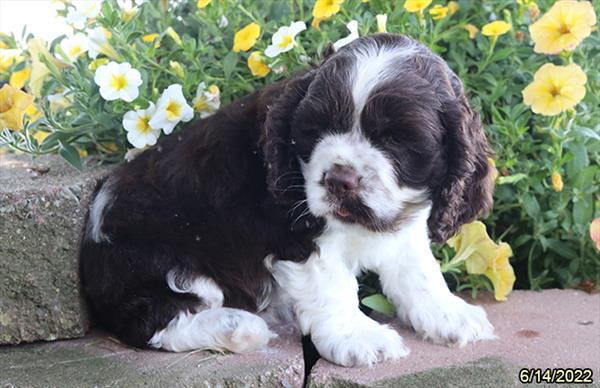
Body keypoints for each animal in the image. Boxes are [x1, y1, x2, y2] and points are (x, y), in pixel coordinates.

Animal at [79, 34, 494, 366]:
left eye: (395, 139)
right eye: (317, 128)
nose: (339, 180)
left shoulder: (404, 218)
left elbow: (417, 269)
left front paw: (448, 314)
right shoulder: (298, 231)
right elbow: (333, 284)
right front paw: (361, 337)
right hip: (162, 259)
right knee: (156, 319)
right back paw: (238, 326)